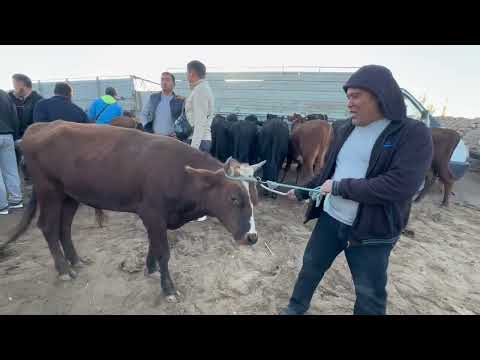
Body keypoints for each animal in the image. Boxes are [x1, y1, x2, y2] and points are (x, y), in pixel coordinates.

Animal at [1, 120, 266, 300]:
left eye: (254, 198)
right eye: (234, 198)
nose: (252, 237)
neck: (180, 175)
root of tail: (39, 127)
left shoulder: (155, 218)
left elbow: (154, 246)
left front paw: (151, 269)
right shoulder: (153, 213)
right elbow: (163, 251)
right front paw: (168, 288)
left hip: (70, 195)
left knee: (64, 227)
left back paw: (76, 261)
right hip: (50, 191)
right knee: (48, 226)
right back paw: (64, 269)